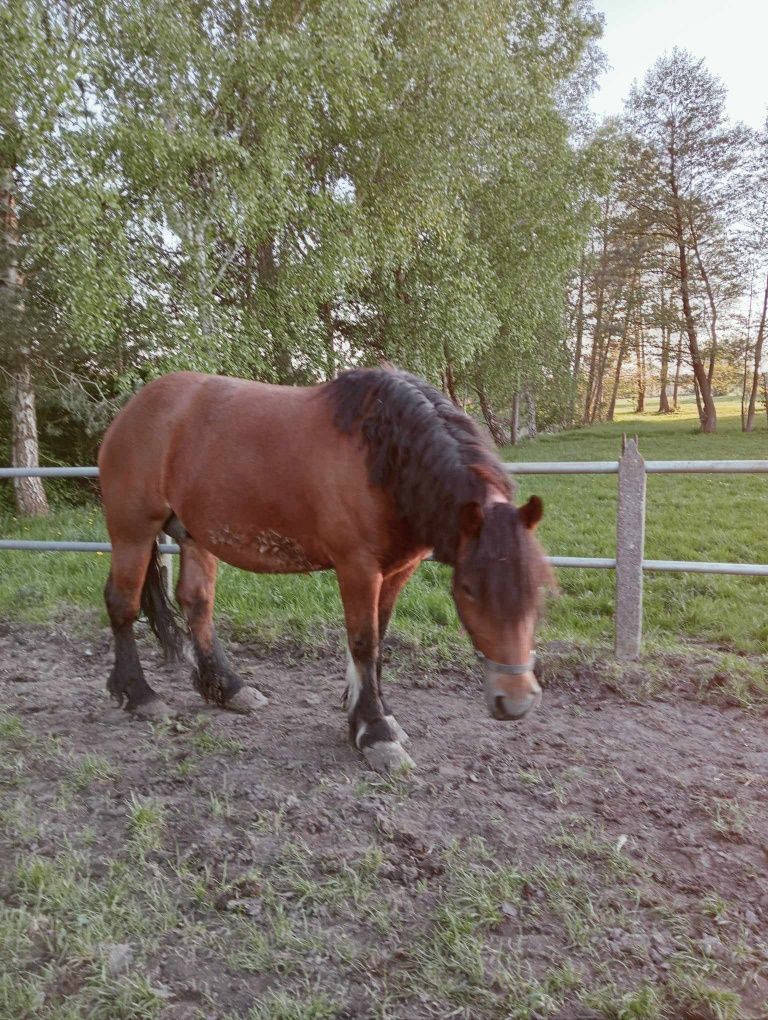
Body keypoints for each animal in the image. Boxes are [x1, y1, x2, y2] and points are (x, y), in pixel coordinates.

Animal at [98, 371, 550, 767]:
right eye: (469, 589)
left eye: (538, 589)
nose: (515, 700)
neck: (386, 455)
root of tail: (133, 409)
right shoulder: (357, 569)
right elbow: (364, 644)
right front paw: (374, 733)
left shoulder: (397, 571)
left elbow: (380, 639)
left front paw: (378, 717)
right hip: (133, 531)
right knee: (122, 604)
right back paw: (139, 696)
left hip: (194, 536)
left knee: (196, 603)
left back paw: (229, 689)